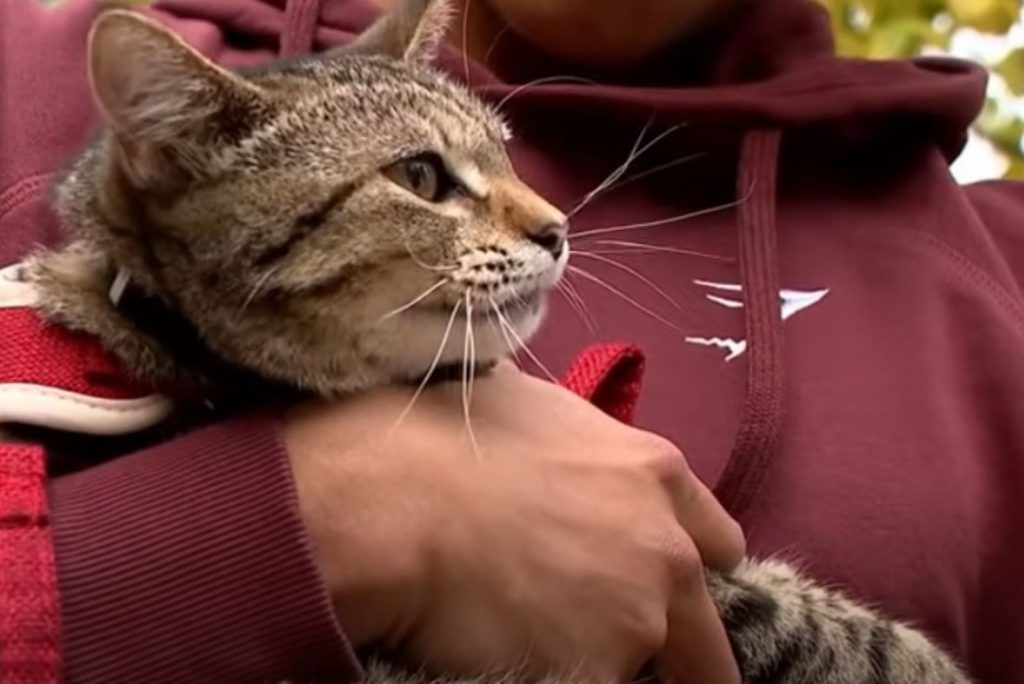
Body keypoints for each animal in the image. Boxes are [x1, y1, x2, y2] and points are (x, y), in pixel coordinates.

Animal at [19, 2, 970, 679]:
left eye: (507, 155)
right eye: (419, 175)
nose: (557, 228)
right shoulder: (686, 592)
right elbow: (785, 608)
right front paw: (919, 658)